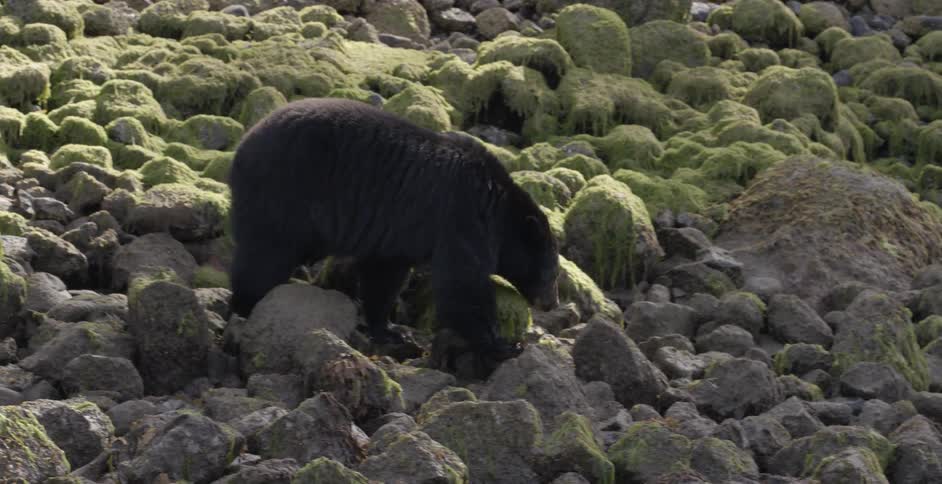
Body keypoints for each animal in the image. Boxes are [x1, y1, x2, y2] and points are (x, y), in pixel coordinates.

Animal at [227, 97, 560, 364]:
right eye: (553, 273)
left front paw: (389, 330)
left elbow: (384, 276)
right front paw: (502, 345)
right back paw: (247, 306)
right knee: (264, 256)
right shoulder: (463, 216)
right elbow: (463, 283)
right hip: (284, 192)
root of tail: (243, 145)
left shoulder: (394, 237)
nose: (552, 303)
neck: (499, 209)